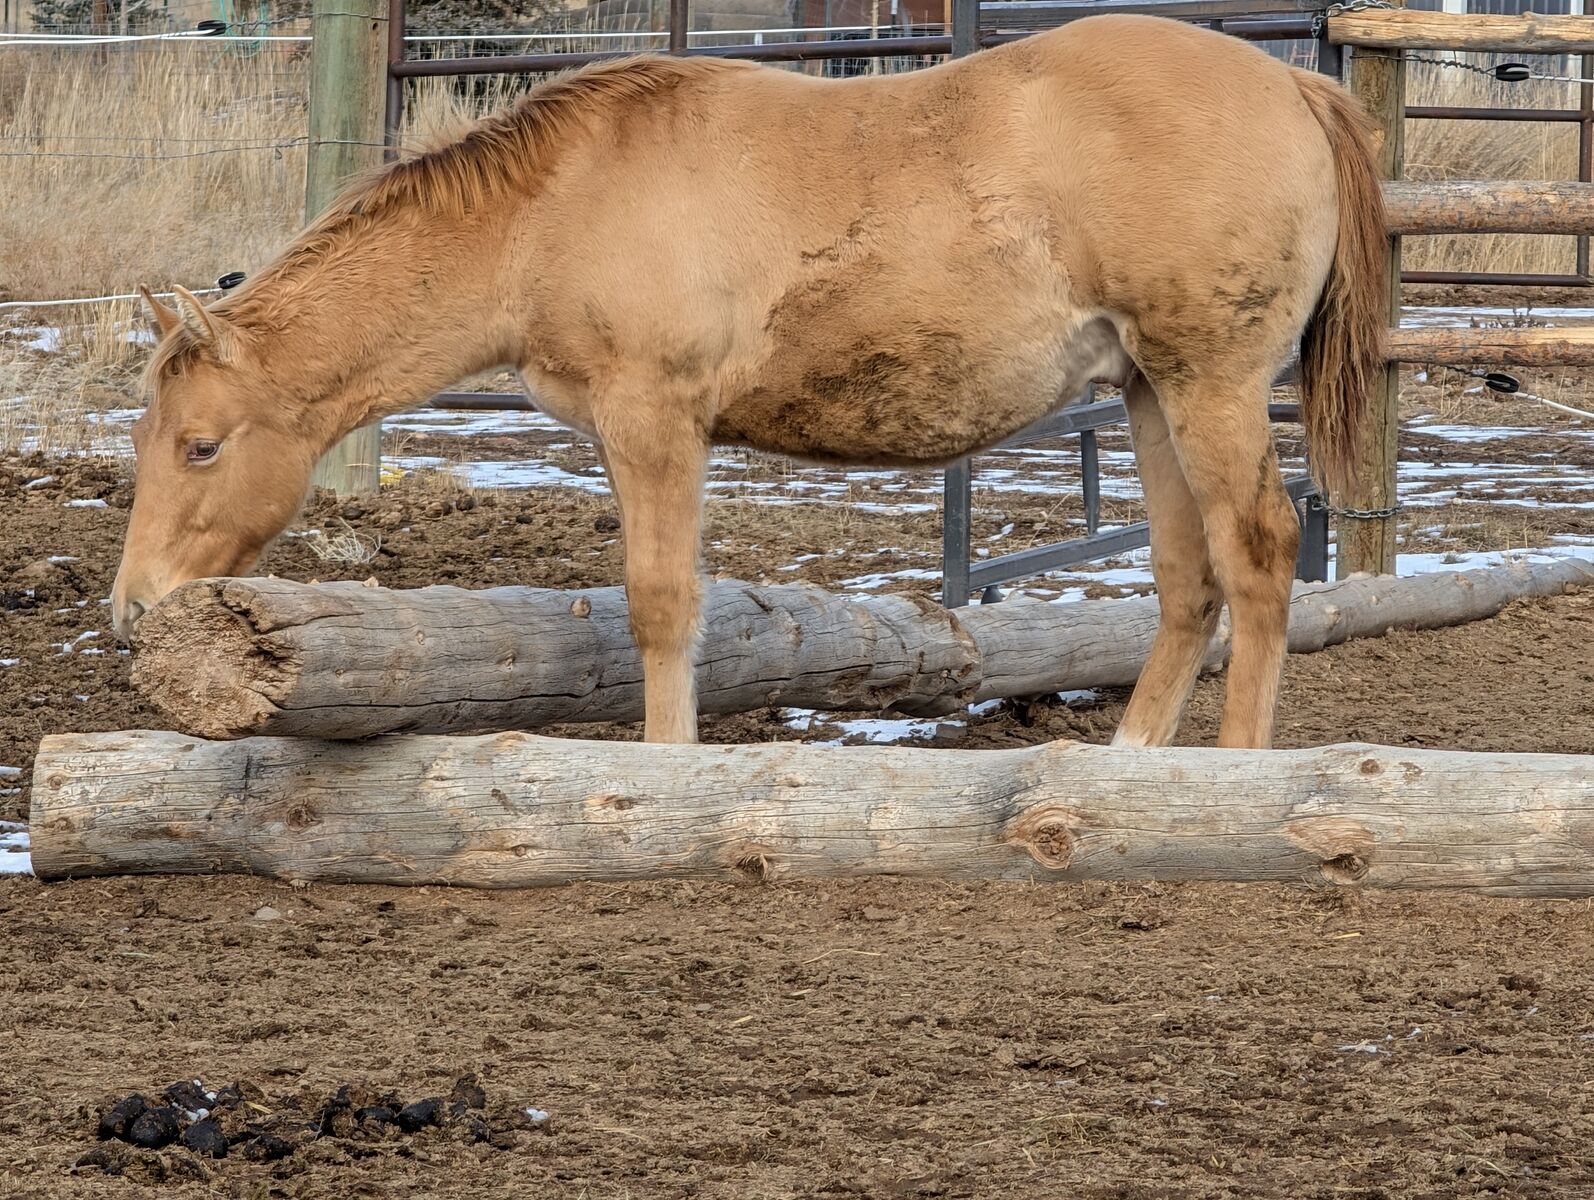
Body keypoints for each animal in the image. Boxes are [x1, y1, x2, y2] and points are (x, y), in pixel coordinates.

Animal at [112, 14, 1386, 749]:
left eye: (201, 445)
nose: (135, 608)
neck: (552, 207)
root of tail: (1297, 88)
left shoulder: (654, 420)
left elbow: (662, 606)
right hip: (1149, 392)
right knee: (1187, 582)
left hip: (1210, 386)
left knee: (1259, 557)